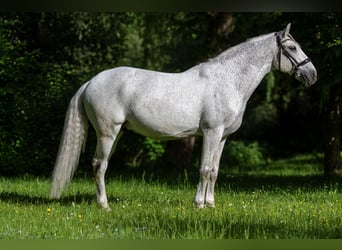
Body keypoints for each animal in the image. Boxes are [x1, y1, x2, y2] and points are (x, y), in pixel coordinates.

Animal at [50, 23, 318, 210]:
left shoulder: (222, 137)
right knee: (99, 165)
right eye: (292, 48)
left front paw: (211, 203)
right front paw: (199, 204)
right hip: (107, 133)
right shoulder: (211, 133)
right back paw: (104, 206)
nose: (312, 75)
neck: (227, 80)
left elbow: (215, 170)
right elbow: (205, 169)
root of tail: (90, 82)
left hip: (117, 134)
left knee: (101, 166)